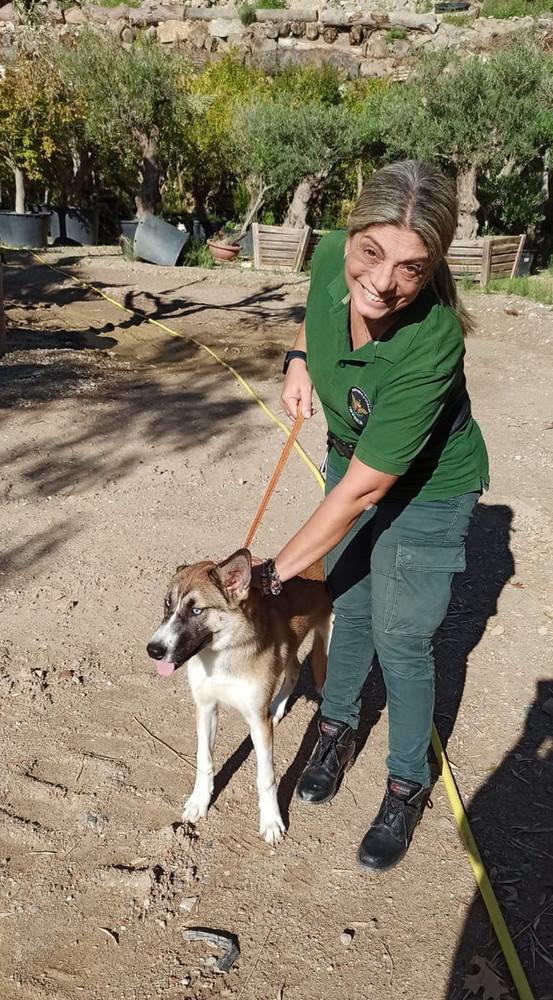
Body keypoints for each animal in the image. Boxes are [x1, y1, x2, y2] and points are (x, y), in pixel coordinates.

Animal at [144, 548, 332, 844]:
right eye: (167, 604)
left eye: (196, 610)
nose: (154, 650)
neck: (223, 655)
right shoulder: (206, 709)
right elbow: (204, 761)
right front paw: (199, 801)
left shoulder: (257, 721)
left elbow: (266, 777)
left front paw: (271, 821)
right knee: (291, 672)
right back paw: (278, 708)